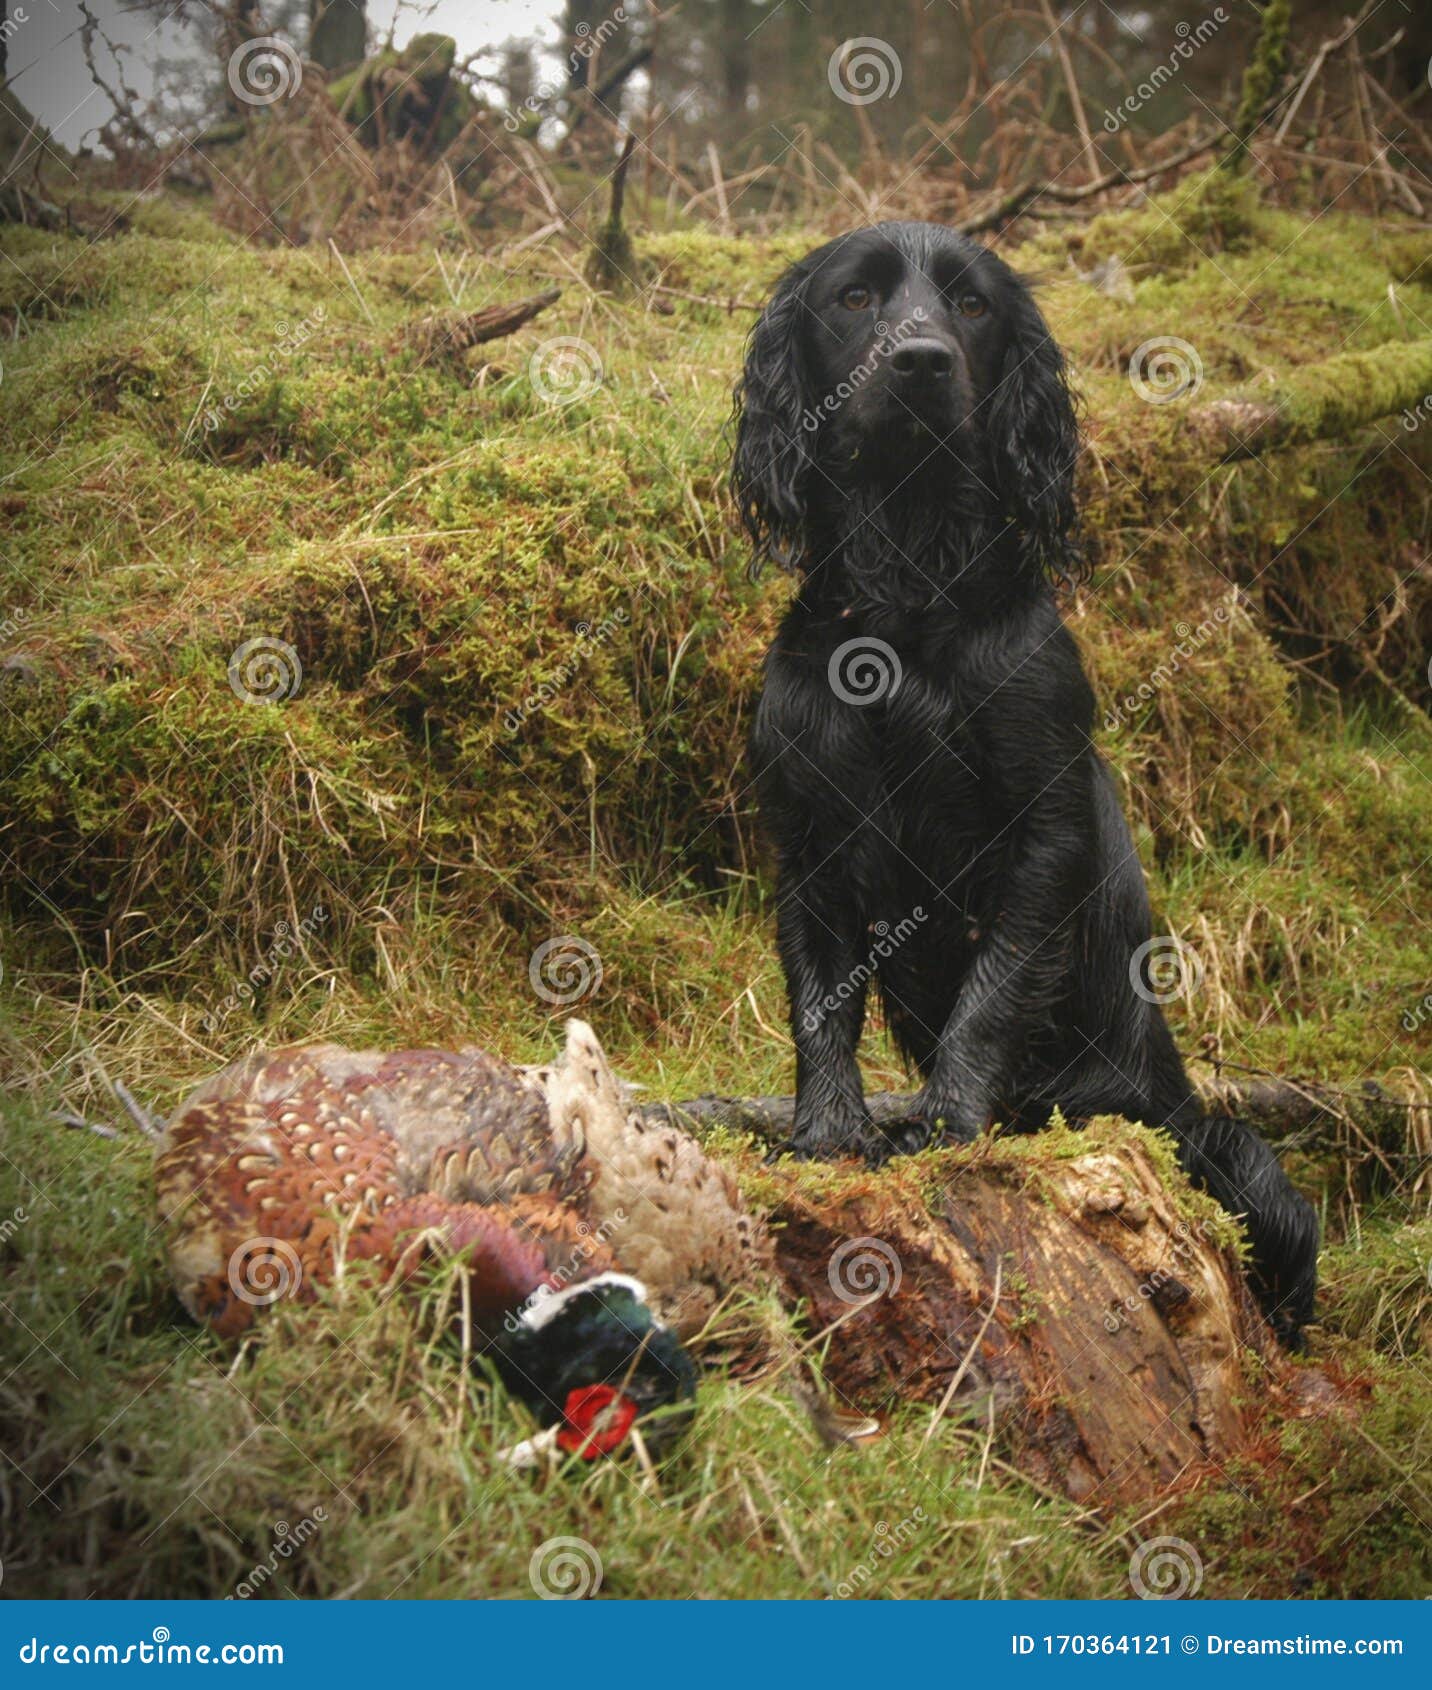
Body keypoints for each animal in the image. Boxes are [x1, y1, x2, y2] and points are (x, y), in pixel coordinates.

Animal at [740, 221, 1318, 1345]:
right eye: (856, 297)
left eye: (972, 306)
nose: (922, 363)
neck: (904, 597)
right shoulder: (811, 841)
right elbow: (820, 1006)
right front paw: (828, 1134)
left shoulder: (1043, 829)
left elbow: (993, 989)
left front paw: (948, 1123)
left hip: (1230, 1154)